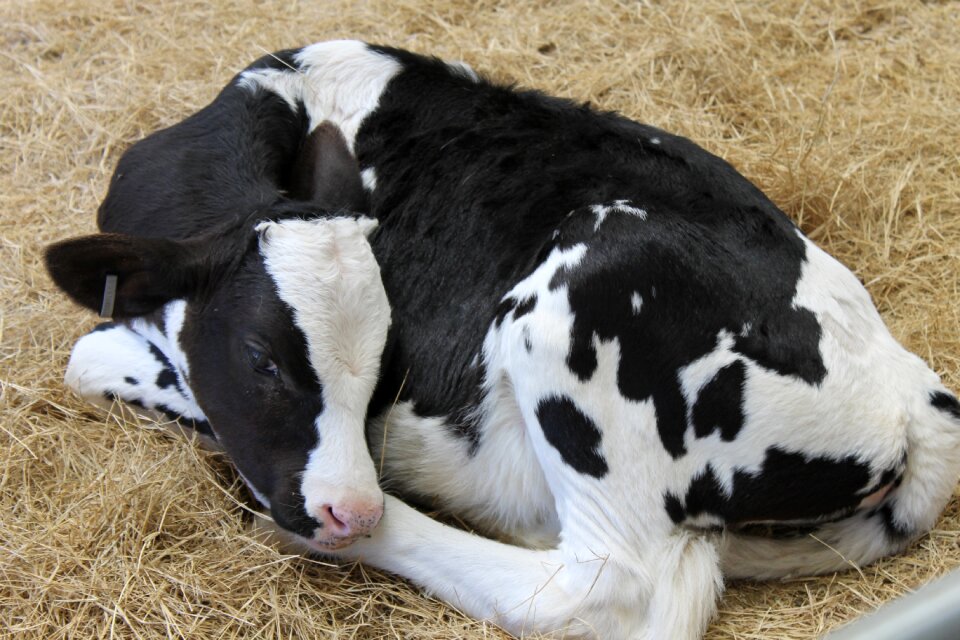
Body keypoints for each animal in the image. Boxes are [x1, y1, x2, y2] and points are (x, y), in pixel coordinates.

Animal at [47, 42, 960, 636]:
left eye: (387, 366)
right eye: (261, 358)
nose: (349, 507)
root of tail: (915, 393)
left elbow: (91, 354)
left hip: (581, 299)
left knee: (615, 589)